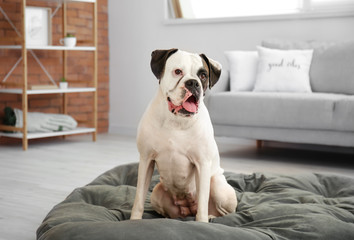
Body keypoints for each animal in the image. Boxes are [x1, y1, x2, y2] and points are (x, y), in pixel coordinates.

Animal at [131, 48, 238, 223]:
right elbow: (139, 198)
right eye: (177, 71)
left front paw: (202, 223)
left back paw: (211, 217)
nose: (193, 83)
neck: (176, 121)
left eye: (203, 75)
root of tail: (187, 211)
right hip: (157, 193)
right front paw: (133, 220)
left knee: (224, 212)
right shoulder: (146, 160)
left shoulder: (202, 164)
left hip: (218, 187)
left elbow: (202, 204)